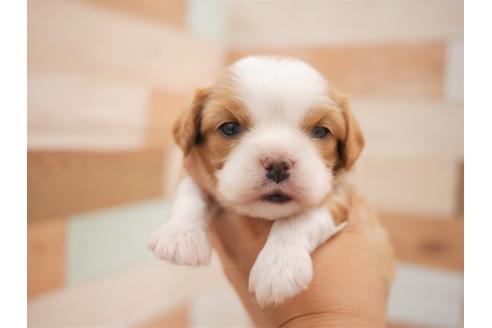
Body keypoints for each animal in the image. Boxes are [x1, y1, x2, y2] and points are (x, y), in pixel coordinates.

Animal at [148, 55, 374, 304]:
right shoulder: (194, 171)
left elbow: (302, 216)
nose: (277, 164)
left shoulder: (342, 190)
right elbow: (189, 192)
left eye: (321, 131)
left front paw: (280, 265)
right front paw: (180, 235)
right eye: (229, 128)